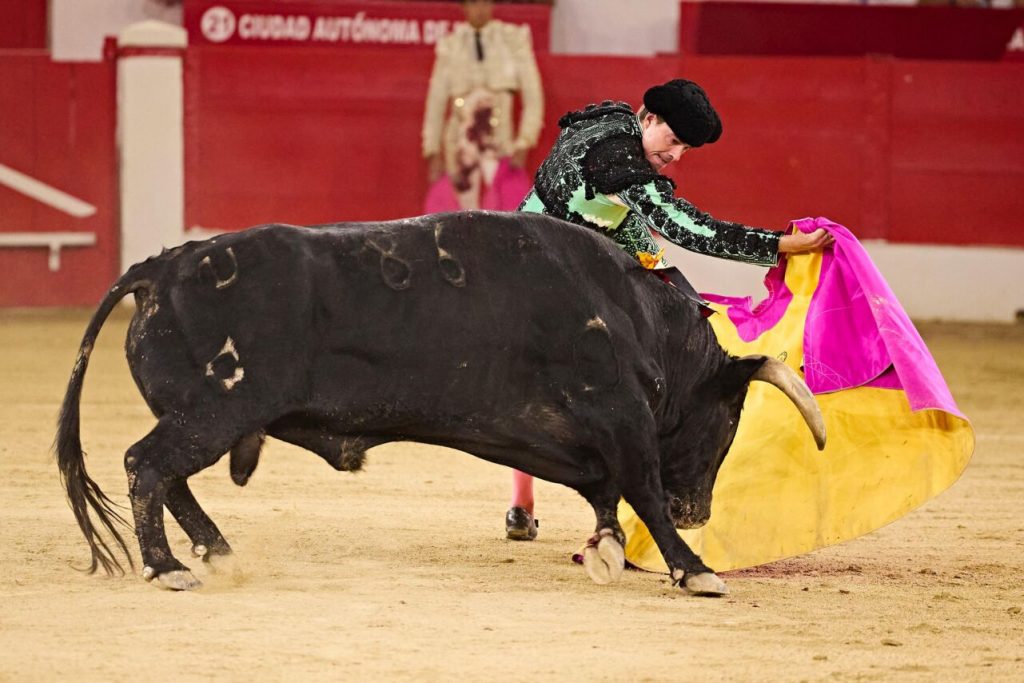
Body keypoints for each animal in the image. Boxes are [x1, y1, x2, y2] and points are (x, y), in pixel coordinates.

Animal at [54, 210, 823, 593]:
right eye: (728, 418)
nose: (701, 512)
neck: (635, 312)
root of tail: (162, 266)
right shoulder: (621, 415)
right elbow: (644, 491)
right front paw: (696, 570)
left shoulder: (585, 439)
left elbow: (609, 494)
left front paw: (607, 550)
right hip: (214, 412)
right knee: (147, 465)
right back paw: (170, 567)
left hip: (205, 417)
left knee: (169, 474)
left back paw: (212, 550)